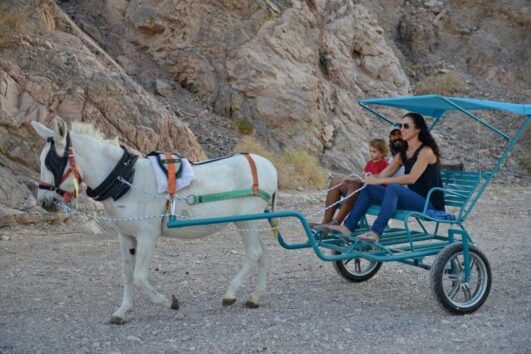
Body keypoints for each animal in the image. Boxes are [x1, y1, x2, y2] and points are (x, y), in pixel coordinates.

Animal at [30, 118, 278, 324]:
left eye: (51, 162)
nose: (44, 201)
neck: (127, 181)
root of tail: (268, 165)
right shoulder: (125, 236)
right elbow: (127, 274)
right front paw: (122, 312)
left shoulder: (147, 235)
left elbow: (140, 276)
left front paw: (169, 302)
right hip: (250, 222)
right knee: (264, 254)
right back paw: (255, 297)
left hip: (246, 222)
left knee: (254, 253)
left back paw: (230, 294)